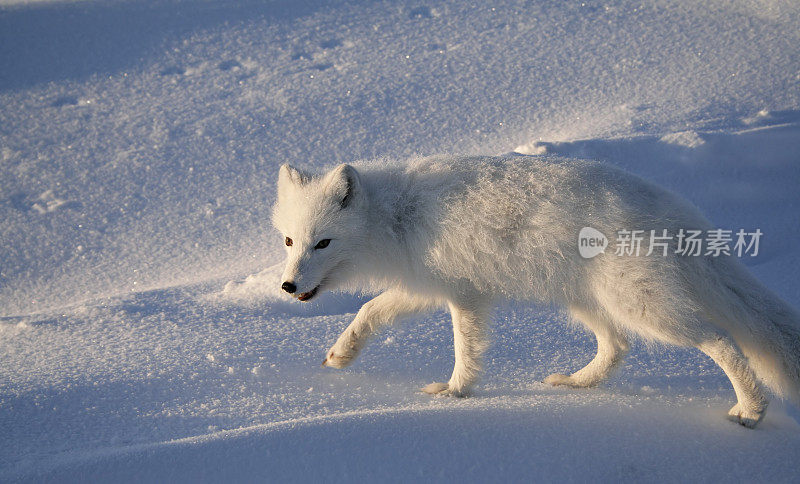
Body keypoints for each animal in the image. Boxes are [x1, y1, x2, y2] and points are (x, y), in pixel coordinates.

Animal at [272, 155, 796, 428]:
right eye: (290, 241)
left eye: (323, 242)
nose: (288, 285)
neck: (398, 215)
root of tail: (676, 211)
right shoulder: (430, 287)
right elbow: (368, 311)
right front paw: (340, 355)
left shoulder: (465, 295)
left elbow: (465, 348)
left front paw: (455, 392)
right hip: (587, 302)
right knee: (617, 346)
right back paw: (574, 384)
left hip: (644, 306)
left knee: (720, 341)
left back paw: (751, 410)